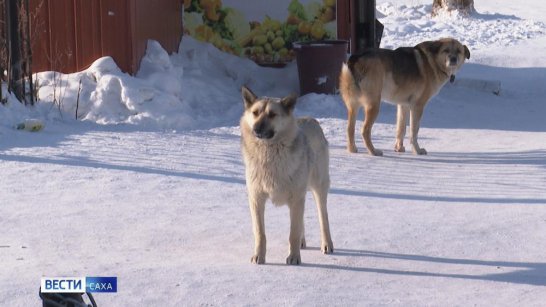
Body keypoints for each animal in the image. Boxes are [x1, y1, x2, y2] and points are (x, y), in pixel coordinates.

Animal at [336, 38, 468, 156]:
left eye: (459, 51)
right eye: (446, 50)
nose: (453, 59)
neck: (433, 62)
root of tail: (356, 58)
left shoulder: (403, 105)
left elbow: (401, 129)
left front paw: (399, 148)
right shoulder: (417, 106)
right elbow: (414, 131)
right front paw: (417, 151)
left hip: (353, 106)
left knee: (350, 129)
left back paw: (352, 149)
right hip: (374, 105)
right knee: (365, 131)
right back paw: (373, 152)